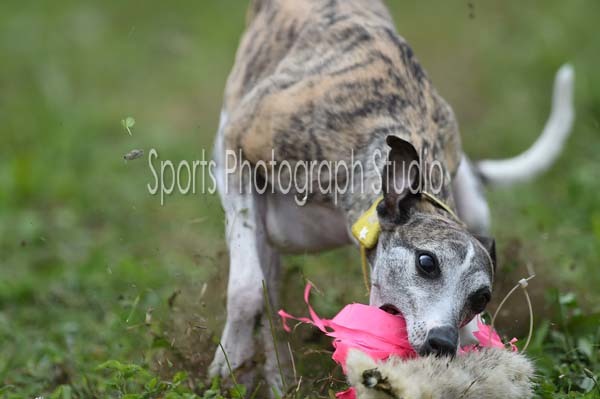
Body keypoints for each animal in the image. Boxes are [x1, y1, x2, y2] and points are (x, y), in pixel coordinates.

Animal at [209, 0, 576, 390]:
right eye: (427, 262)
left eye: (482, 298)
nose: (442, 343)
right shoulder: (234, 149)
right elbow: (248, 289)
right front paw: (229, 363)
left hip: (474, 207)